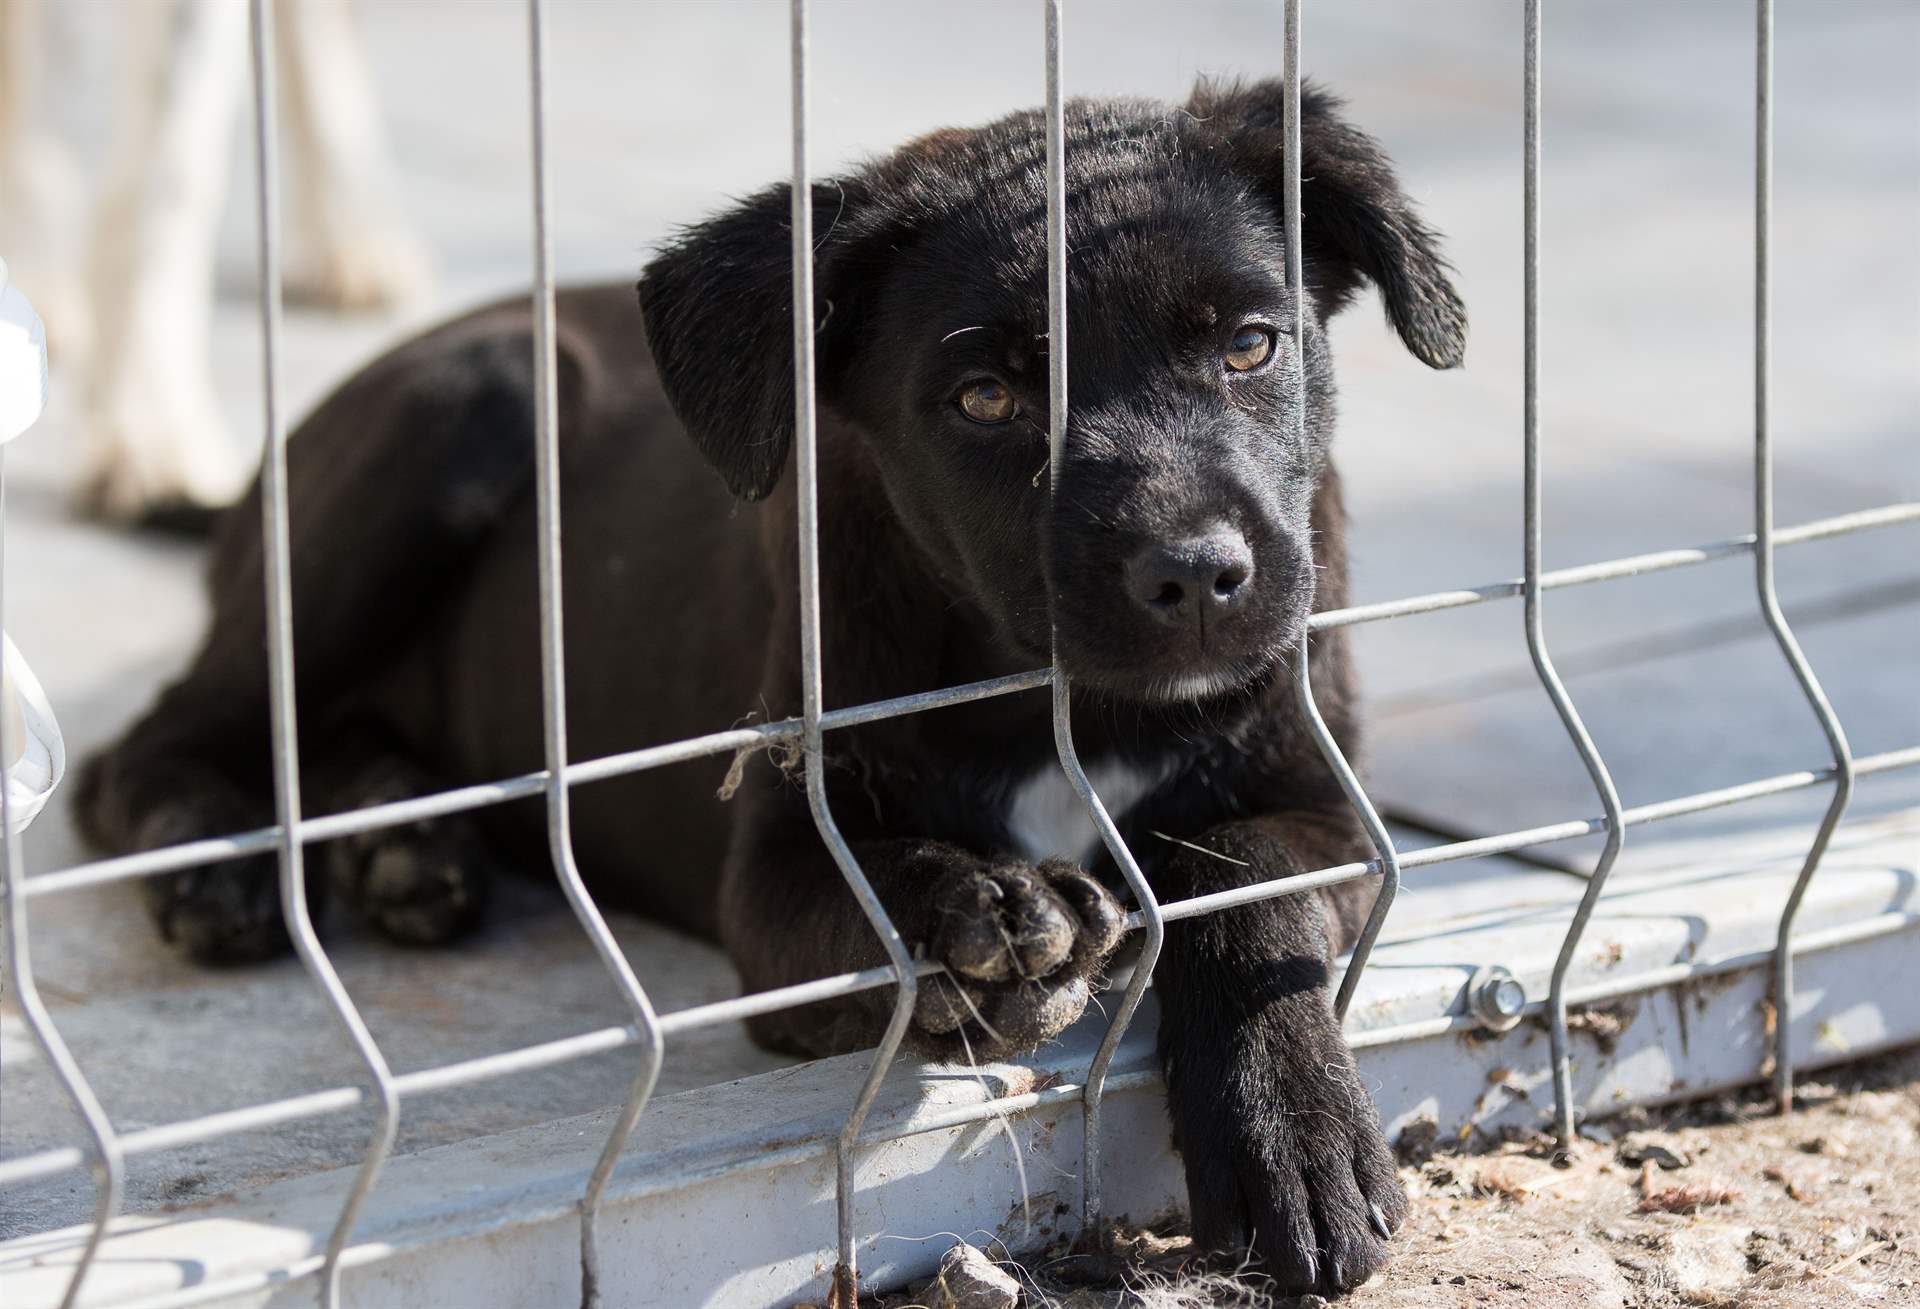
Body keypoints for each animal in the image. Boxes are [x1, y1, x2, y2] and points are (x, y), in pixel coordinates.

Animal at [74, 83, 1459, 1297]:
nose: (1197, 575)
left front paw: (1294, 1136)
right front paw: (982, 914)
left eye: (1249, 345)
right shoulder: (780, 869)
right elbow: (886, 897)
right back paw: (212, 863)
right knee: (154, 740)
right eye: (985, 397)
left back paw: (402, 846)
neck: (1064, 698)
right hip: (458, 413)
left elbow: (1239, 871)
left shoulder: (1335, 804)